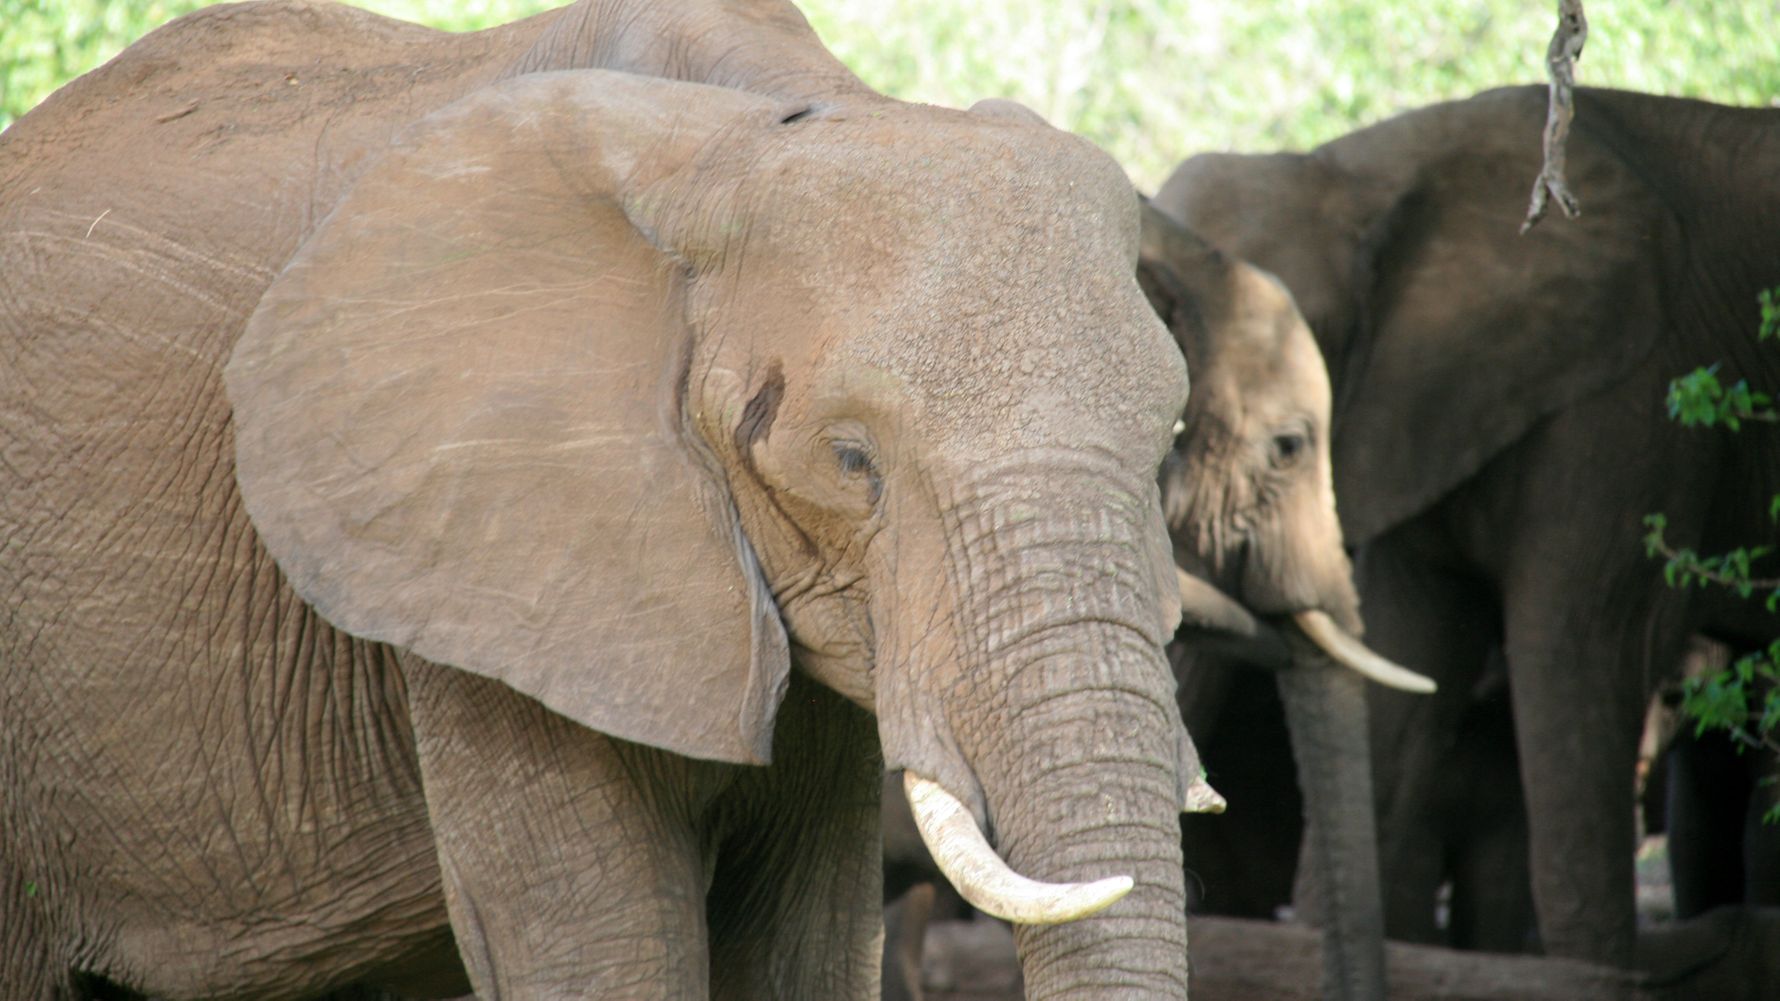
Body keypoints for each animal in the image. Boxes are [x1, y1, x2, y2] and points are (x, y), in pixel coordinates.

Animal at [0, 0, 1230, 997]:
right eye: (850, 460)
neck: (736, 131)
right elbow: (605, 951)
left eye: (1164, 439)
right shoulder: (481, 555)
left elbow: (808, 952)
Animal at [1153, 84, 1780, 967]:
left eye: (1288, 446)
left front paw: (1599, 970)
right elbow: (1412, 655)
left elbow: (1582, 651)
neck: (1352, 174)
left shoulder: (1629, 408)